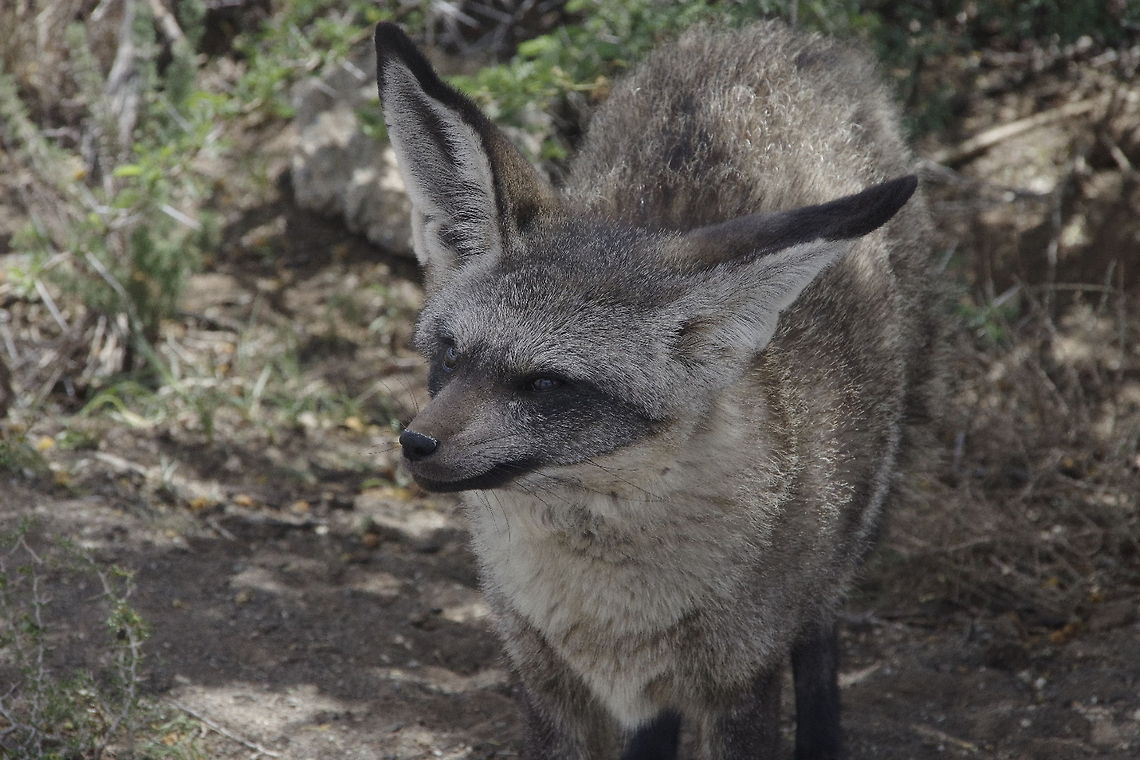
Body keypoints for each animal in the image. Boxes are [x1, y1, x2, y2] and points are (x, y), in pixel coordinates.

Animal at [375, 18, 940, 760]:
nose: (416, 443)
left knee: (820, 634)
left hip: (850, 535)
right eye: (448, 354)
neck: (610, 614)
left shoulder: (741, 680)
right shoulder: (542, 677)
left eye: (546, 383)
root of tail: (766, 32)